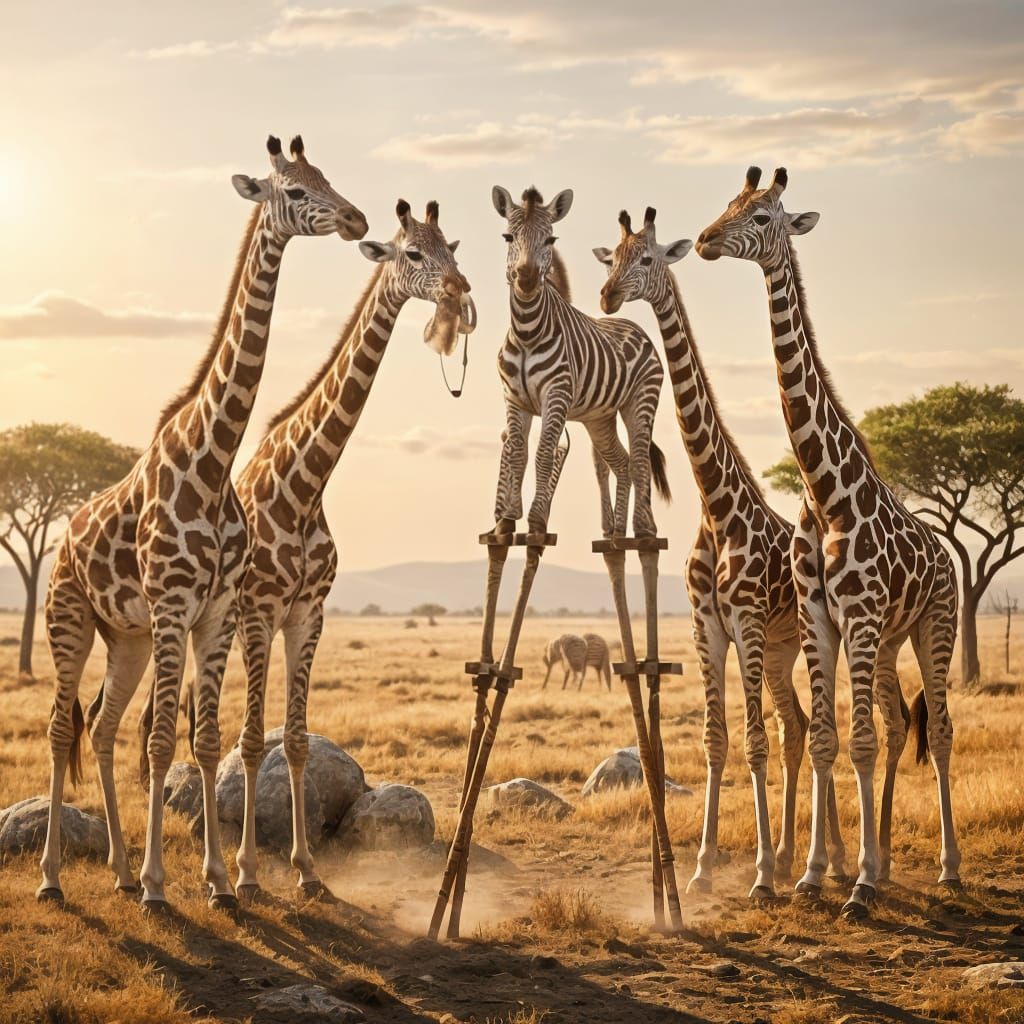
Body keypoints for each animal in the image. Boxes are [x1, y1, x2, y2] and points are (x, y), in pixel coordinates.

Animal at [38, 135, 367, 910]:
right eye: (295, 191)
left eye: (326, 176)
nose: (357, 218)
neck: (214, 461)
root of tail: (62, 540)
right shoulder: (174, 604)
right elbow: (165, 741)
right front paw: (164, 886)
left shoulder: (214, 611)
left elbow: (208, 740)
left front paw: (219, 881)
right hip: (70, 619)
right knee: (61, 727)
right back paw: (55, 878)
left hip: (126, 636)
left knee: (101, 727)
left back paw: (119, 870)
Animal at [228, 199, 473, 900]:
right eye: (412, 254)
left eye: (451, 247)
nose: (461, 290)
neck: (307, 485)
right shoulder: (260, 611)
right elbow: (252, 741)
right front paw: (247, 874)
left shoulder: (308, 614)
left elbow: (297, 741)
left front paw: (308, 871)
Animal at [490, 186, 671, 541]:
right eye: (508, 236)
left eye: (550, 239)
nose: (527, 279)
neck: (527, 331)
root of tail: (634, 325)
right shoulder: (514, 398)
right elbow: (517, 452)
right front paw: (506, 520)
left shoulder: (556, 395)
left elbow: (544, 453)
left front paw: (536, 521)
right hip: (598, 418)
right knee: (622, 462)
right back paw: (617, 533)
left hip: (640, 402)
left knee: (640, 459)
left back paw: (643, 529)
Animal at [593, 205, 833, 896]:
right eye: (612, 257)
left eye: (647, 259)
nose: (607, 296)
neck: (716, 508)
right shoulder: (708, 626)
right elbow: (715, 739)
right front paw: (702, 868)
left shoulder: (746, 620)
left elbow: (750, 741)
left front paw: (758, 875)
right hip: (780, 651)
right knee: (797, 726)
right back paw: (801, 857)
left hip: (794, 638)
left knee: (806, 727)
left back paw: (820, 862)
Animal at [696, 166, 961, 918]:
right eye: (729, 203)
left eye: (762, 215)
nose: (703, 239)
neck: (824, 492)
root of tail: (947, 553)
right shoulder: (821, 616)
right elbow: (823, 737)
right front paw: (816, 873)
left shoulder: (860, 615)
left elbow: (860, 741)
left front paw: (859, 885)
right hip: (892, 637)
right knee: (901, 723)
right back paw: (890, 859)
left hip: (935, 623)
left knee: (939, 729)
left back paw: (944, 868)